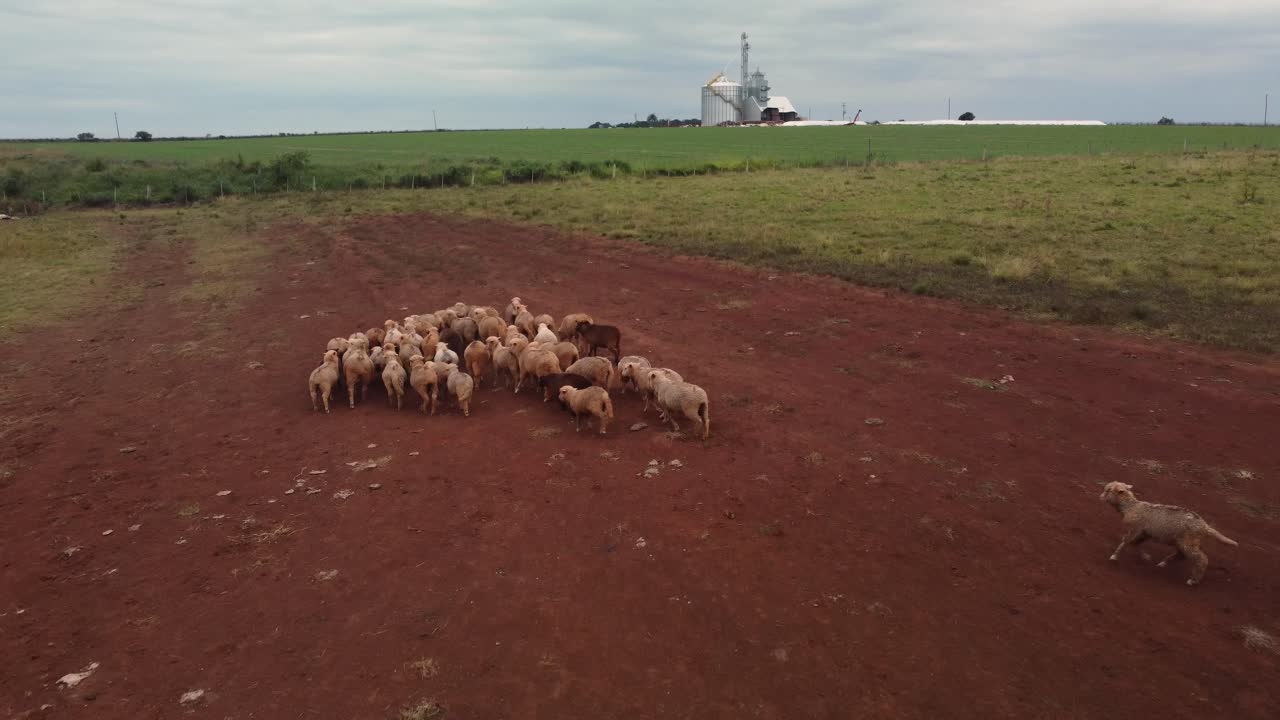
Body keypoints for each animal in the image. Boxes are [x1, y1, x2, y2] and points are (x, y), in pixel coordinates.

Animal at [1099, 481, 1239, 586]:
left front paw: (1114, 556)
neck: (1130, 506)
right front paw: (1145, 557)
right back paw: (1163, 563)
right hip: (1184, 542)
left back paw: (1193, 580)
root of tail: (1205, 526)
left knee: (1202, 558)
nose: (1100, 496)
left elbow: (1125, 542)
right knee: (1181, 555)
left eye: (1108, 490)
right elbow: (1136, 544)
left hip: (1188, 542)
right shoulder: (1144, 533)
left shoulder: (1135, 529)